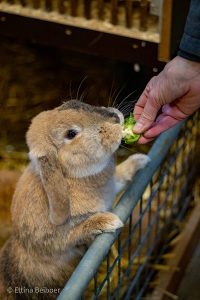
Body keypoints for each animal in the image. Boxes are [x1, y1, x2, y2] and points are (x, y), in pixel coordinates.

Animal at [0, 99, 150, 298]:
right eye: (71, 133)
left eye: (75, 102)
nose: (115, 118)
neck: (71, 177)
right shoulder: (57, 242)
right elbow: (77, 232)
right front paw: (107, 221)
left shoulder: (112, 187)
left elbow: (120, 176)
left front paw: (140, 160)